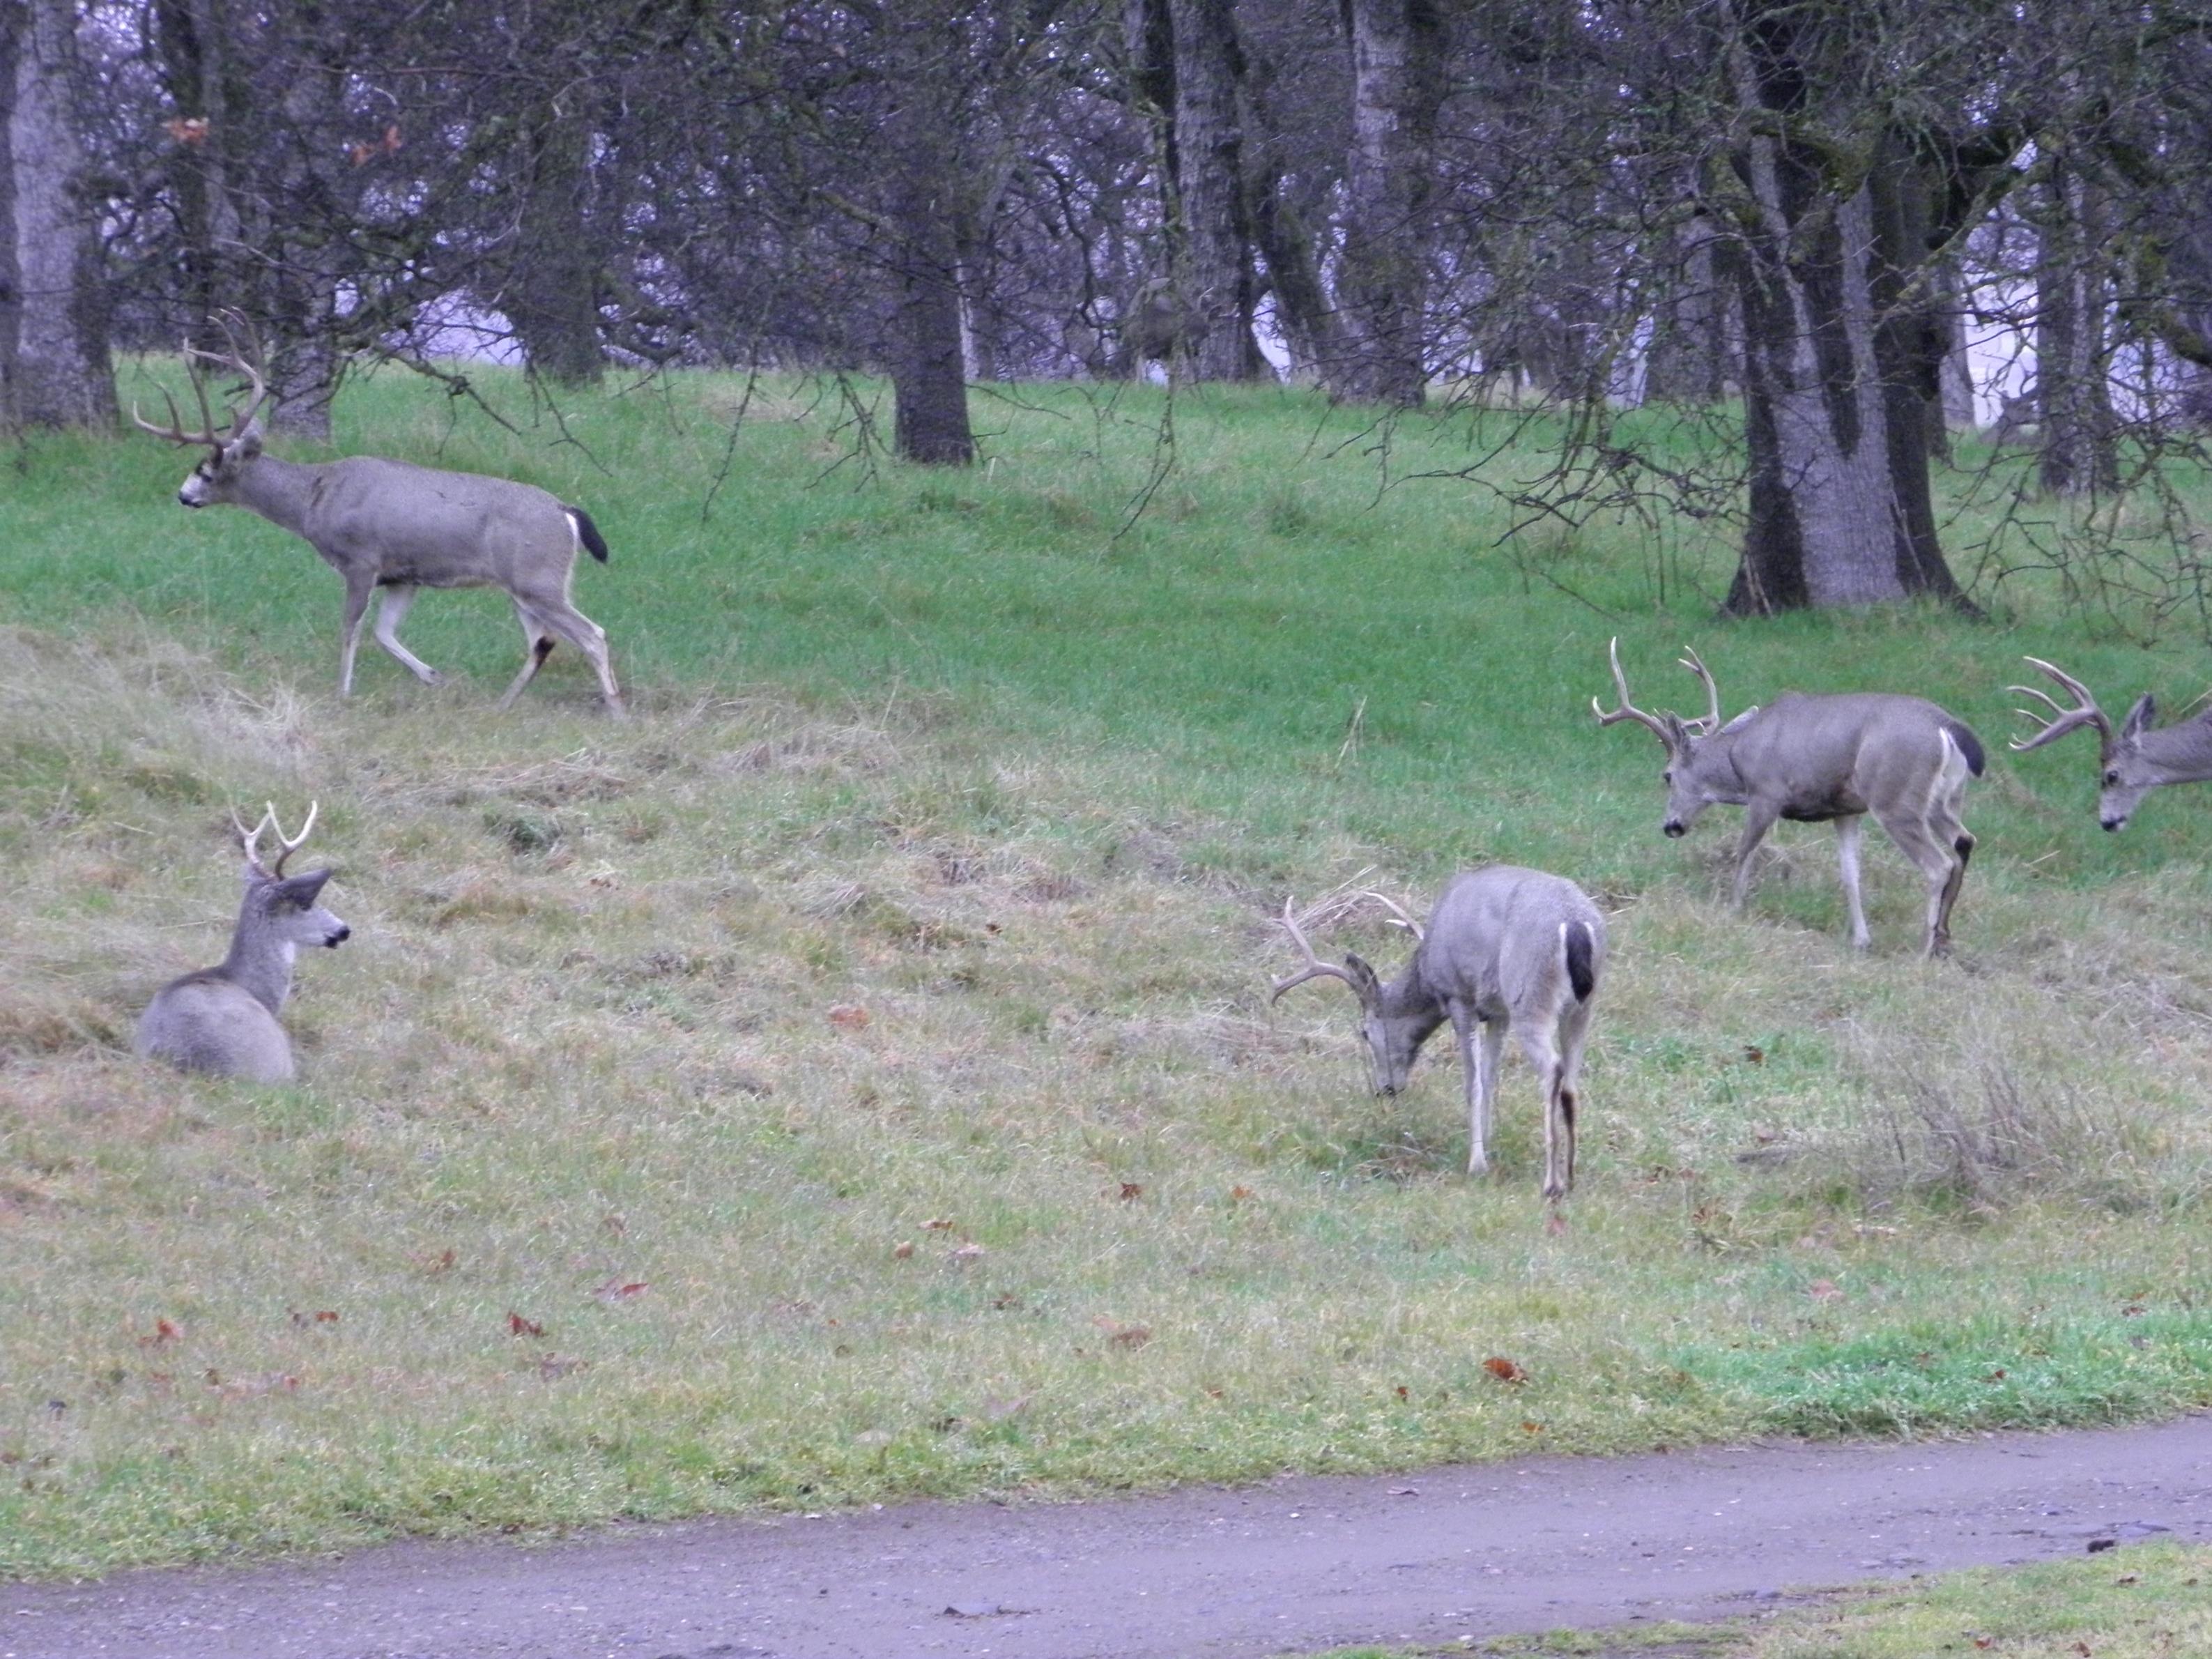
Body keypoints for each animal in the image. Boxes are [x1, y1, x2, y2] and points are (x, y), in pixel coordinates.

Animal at [132, 323, 624, 717]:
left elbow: (351, 628)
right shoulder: (403, 576)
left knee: (592, 634)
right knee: (543, 641)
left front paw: (342, 693)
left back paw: (615, 711)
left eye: (207, 471)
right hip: (523, 586)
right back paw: (503, 705)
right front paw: (432, 676)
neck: (314, 498)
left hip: (537, 577)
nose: (183, 496)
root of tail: (566, 513)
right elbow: (384, 633)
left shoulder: (361, 561)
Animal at [1265, 862, 1610, 1203]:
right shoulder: (1498, 1012)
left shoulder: (1460, 997)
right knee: (1571, 1082)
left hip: (1528, 995)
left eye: (1364, 1032)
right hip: (1581, 1006)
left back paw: (1552, 1184)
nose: (1386, 1090)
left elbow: (1473, 1083)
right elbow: (1490, 1077)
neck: (1429, 970)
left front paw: (1477, 1163)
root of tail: (1575, 924)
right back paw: (1571, 1176)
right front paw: (1488, 1142)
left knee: (1553, 1069)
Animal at [1592, 641, 1990, 960]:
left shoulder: (1766, 793)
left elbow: (1744, 852)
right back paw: (1944, 939)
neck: (1739, 759)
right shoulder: (1847, 810)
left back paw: (1924, 948)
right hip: (1944, 800)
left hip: (1895, 796)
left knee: (1938, 864)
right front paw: (1861, 940)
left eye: (1667, 776)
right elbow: (1850, 873)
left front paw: (1732, 909)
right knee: (1964, 842)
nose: (1671, 826)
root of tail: (1948, 728)